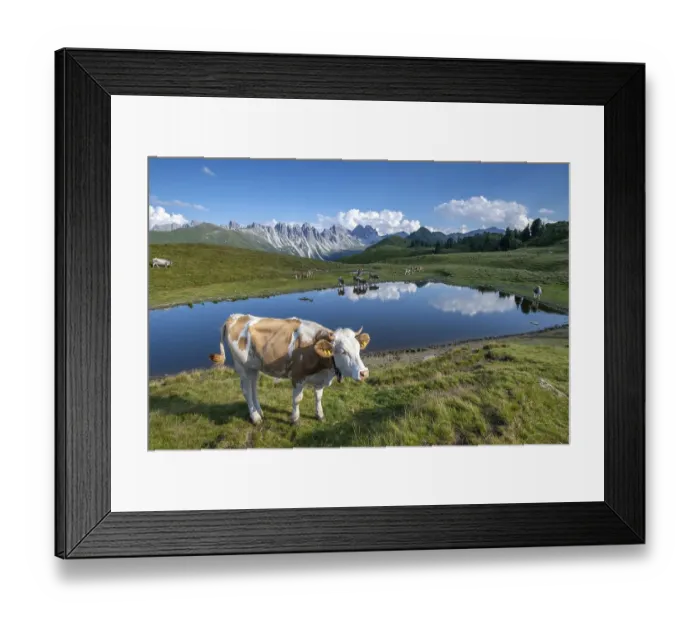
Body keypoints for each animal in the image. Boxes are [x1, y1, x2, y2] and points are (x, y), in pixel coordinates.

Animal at [209, 315, 371, 425]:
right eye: (342, 351)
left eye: (358, 348)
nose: (364, 373)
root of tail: (236, 316)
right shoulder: (297, 377)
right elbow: (297, 399)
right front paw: (295, 419)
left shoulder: (320, 378)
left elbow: (318, 397)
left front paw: (320, 415)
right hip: (242, 367)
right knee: (246, 390)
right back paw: (255, 418)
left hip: (253, 367)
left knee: (253, 386)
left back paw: (259, 411)